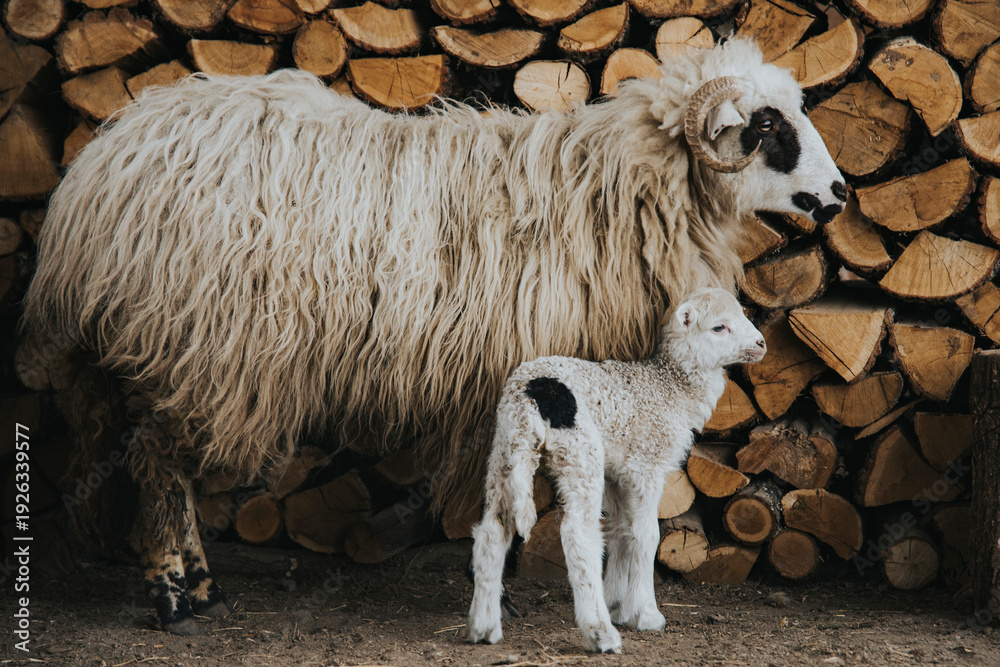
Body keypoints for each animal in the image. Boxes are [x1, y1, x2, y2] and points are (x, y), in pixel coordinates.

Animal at [468, 288, 765, 653]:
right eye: (719, 327)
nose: (762, 343)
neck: (670, 387)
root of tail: (532, 392)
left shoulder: (617, 473)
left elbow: (621, 532)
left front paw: (618, 606)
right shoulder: (645, 466)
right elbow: (646, 536)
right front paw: (646, 615)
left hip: (506, 451)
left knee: (493, 529)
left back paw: (484, 627)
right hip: (580, 453)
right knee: (579, 535)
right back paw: (601, 633)